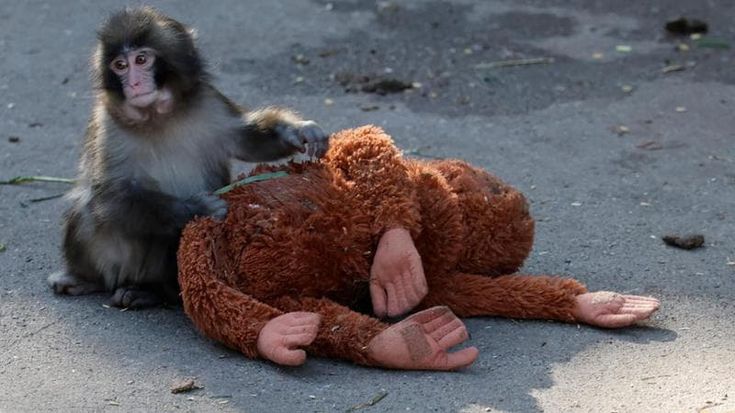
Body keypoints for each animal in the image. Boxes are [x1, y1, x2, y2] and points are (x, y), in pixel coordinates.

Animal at [47, 7, 329, 309]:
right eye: (120, 66)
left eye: (141, 59)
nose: (134, 83)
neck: (157, 116)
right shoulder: (107, 126)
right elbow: (109, 196)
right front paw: (198, 207)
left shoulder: (209, 102)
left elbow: (247, 140)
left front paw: (297, 130)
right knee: (87, 210)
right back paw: (89, 279)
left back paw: (152, 292)